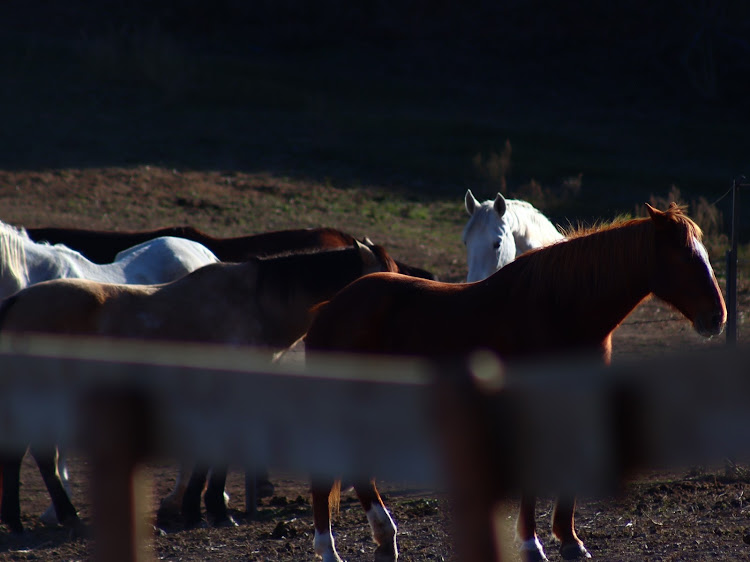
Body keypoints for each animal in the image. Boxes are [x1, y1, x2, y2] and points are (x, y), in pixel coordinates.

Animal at [304, 203, 728, 560]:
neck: (561, 307)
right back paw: (330, 550)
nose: (717, 317)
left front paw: (570, 542)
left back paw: (384, 539)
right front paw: (531, 545)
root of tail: (330, 308)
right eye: (685, 257)